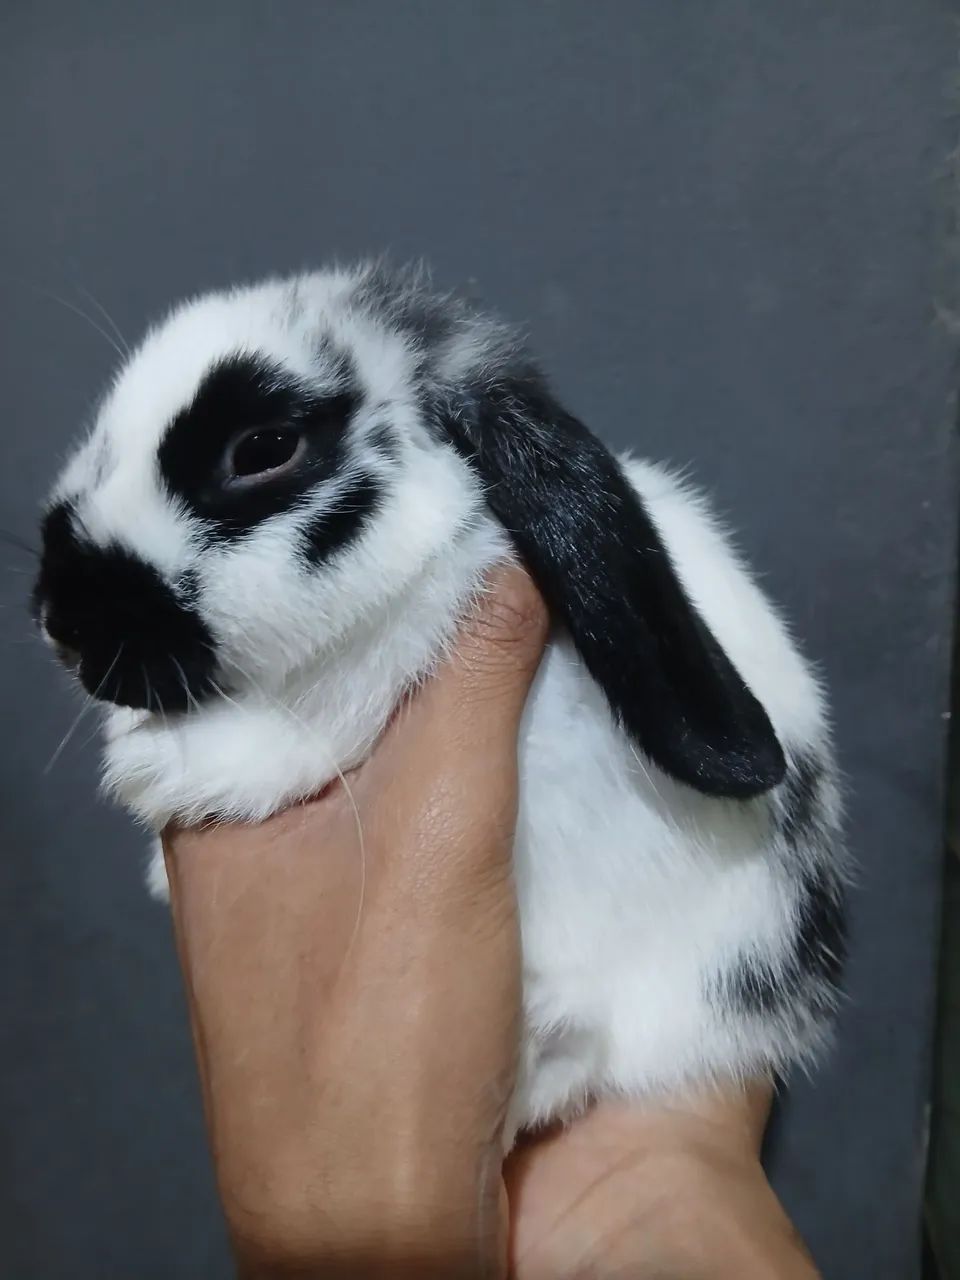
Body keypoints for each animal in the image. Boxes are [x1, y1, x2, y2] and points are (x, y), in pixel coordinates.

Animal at [33, 262, 847, 1133]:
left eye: (263, 448)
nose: (58, 622)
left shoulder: (410, 626)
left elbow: (335, 705)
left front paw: (163, 767)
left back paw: (546, 1033)